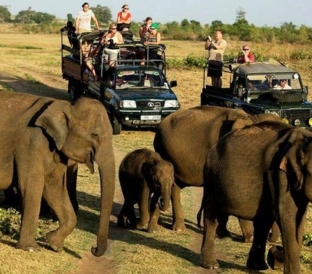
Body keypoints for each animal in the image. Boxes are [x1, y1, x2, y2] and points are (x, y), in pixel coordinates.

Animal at [0, 91, 114, 256]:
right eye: (95, 135)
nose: (93, 248)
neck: (66, 105)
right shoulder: (31, 143)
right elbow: (31, 186)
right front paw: (30, 248)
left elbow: (55, 188)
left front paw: (54, 244)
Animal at [153, 104, 280, 239]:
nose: (270, 238)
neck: (251, 117)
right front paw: (238, 236)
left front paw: (226, 233)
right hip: (165, 153)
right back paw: (179, 229)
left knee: (176, 185)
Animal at [201, 121, 312, 274]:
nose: (274, 250)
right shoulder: (279, 173)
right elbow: (287, 216)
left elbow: (298, 219)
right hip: (210, 177)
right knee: (212, 217)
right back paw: (211, 265)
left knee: (263, 221)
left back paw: (258, 266)